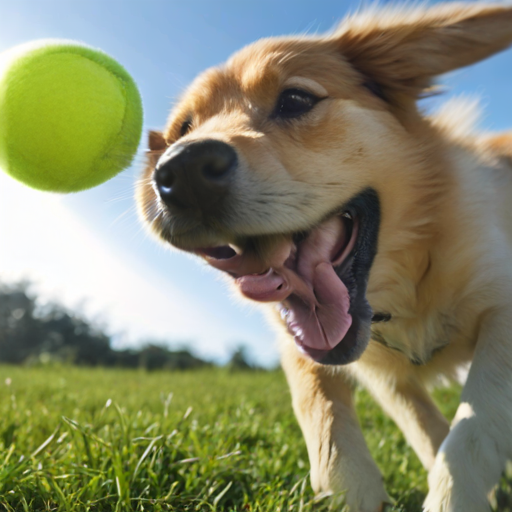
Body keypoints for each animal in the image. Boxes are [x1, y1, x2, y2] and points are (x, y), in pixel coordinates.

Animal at [136, 5, 512, 512]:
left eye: (295, 99)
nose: (181, 171)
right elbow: (328, 408)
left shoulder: (501, 309)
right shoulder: (359, 366)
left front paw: (455, 496)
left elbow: (473, 424)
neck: (407, 282)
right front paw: (352, 486)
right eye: (183, 129)